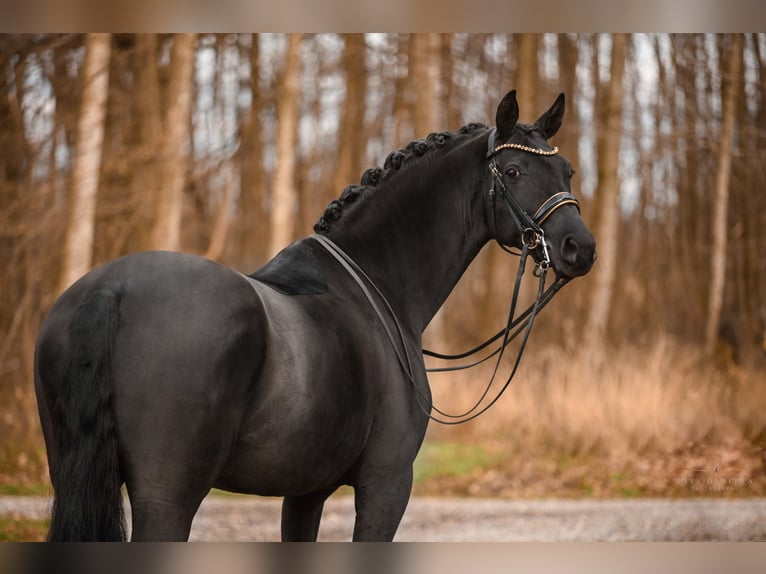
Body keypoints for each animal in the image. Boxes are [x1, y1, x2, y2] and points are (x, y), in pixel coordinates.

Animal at [34, 92, 600, 544]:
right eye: (514, 172)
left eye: (568, 171)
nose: (581, 248)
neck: (376, 286)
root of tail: (112, 289)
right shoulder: (386, 483)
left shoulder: (306, 491)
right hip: (167, 500)